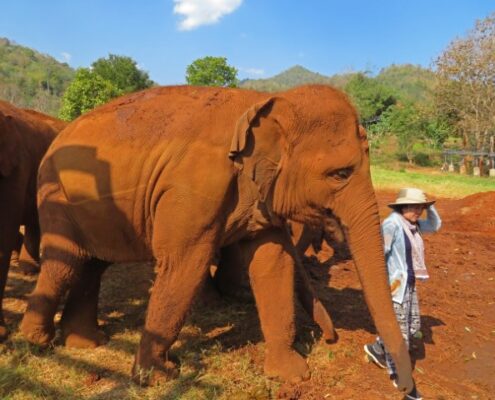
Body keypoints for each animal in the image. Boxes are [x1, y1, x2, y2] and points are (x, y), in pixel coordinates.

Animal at [19, 85, 414, 394]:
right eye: (340, 174)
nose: (331, 337)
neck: (265, 101)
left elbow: (273, 263)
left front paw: (291, 374)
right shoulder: (193, 187)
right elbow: (183, 265)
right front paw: (158, 378)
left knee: (93, 264)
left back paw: (87, 343)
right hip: (52, 193)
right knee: (65, 261)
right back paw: (36, 343)